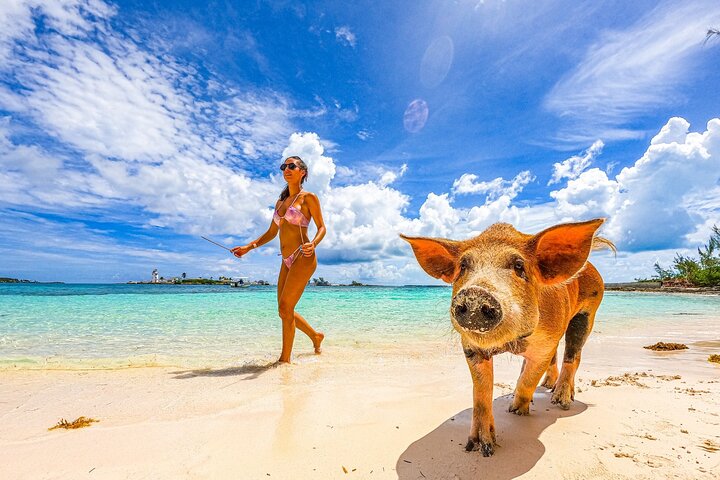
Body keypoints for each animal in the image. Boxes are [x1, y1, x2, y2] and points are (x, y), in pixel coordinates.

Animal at [401, 218, 614, 457]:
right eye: (463, 266)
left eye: (519, 265)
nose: (475, 294)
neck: (511, 342)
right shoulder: (471, 347)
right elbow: (481, 392)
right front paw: (479, 447)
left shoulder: (546, 343)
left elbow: (529, 379)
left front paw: (516, 410)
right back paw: (548, 386)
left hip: (588, 312)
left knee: (573, 354)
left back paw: (561, 401)